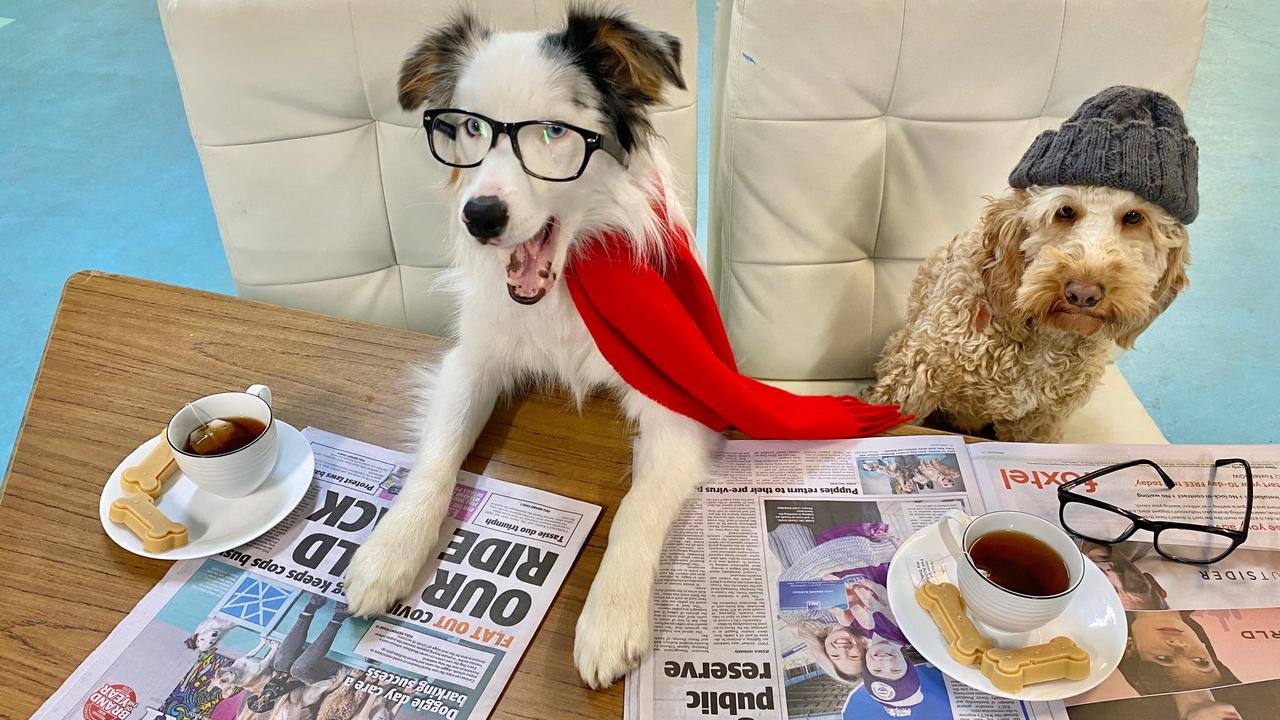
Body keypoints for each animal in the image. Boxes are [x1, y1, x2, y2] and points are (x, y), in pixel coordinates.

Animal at [345, 7, 716, 691]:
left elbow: (637, 506)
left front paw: (610, 616)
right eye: (469, 126)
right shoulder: (473, 360)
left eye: (553, 130)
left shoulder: (676, 394)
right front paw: (390, 550)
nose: (480, 217)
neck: (565, 289)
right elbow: (438, 456)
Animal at [865, 87, 1192, 440]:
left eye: (1134, 217)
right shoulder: (916, 376)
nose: (1083, 293)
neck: (1044, 337)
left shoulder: (1040, 420)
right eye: (1065, 211)